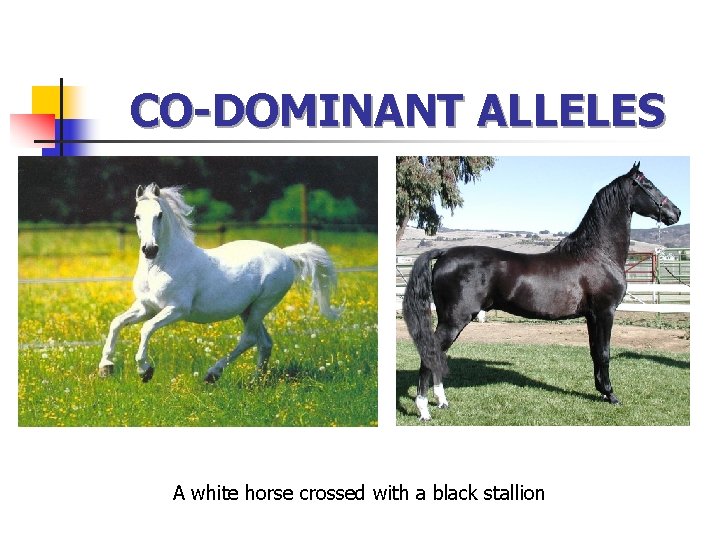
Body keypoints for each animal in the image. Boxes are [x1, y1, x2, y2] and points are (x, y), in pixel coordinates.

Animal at [98, 183, 341, 383]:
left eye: (159, 215)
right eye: (137, 215)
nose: (149, 249)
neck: (161, 266)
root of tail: (286, 255)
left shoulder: (176, 309)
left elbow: (146, 329)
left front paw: (145, 370)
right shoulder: (146, 307)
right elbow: (116, 323)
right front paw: (106, 367)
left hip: (261, 305)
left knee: (249, 339)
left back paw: (213, 374)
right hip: (248, 310)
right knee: (264, 342)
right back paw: (256, 382)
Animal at [402, 162, 681, 421]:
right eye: (649, 185)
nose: (676, 212)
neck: (598, 253)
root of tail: (444, 253)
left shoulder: (591, 316)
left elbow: (594, 352)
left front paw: (601, 391)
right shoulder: (605, 313)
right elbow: (604, 353)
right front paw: (611, 395)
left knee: (436, 354)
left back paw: (442, 401)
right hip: (454, 320)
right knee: (429, 354)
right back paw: (424, 410)